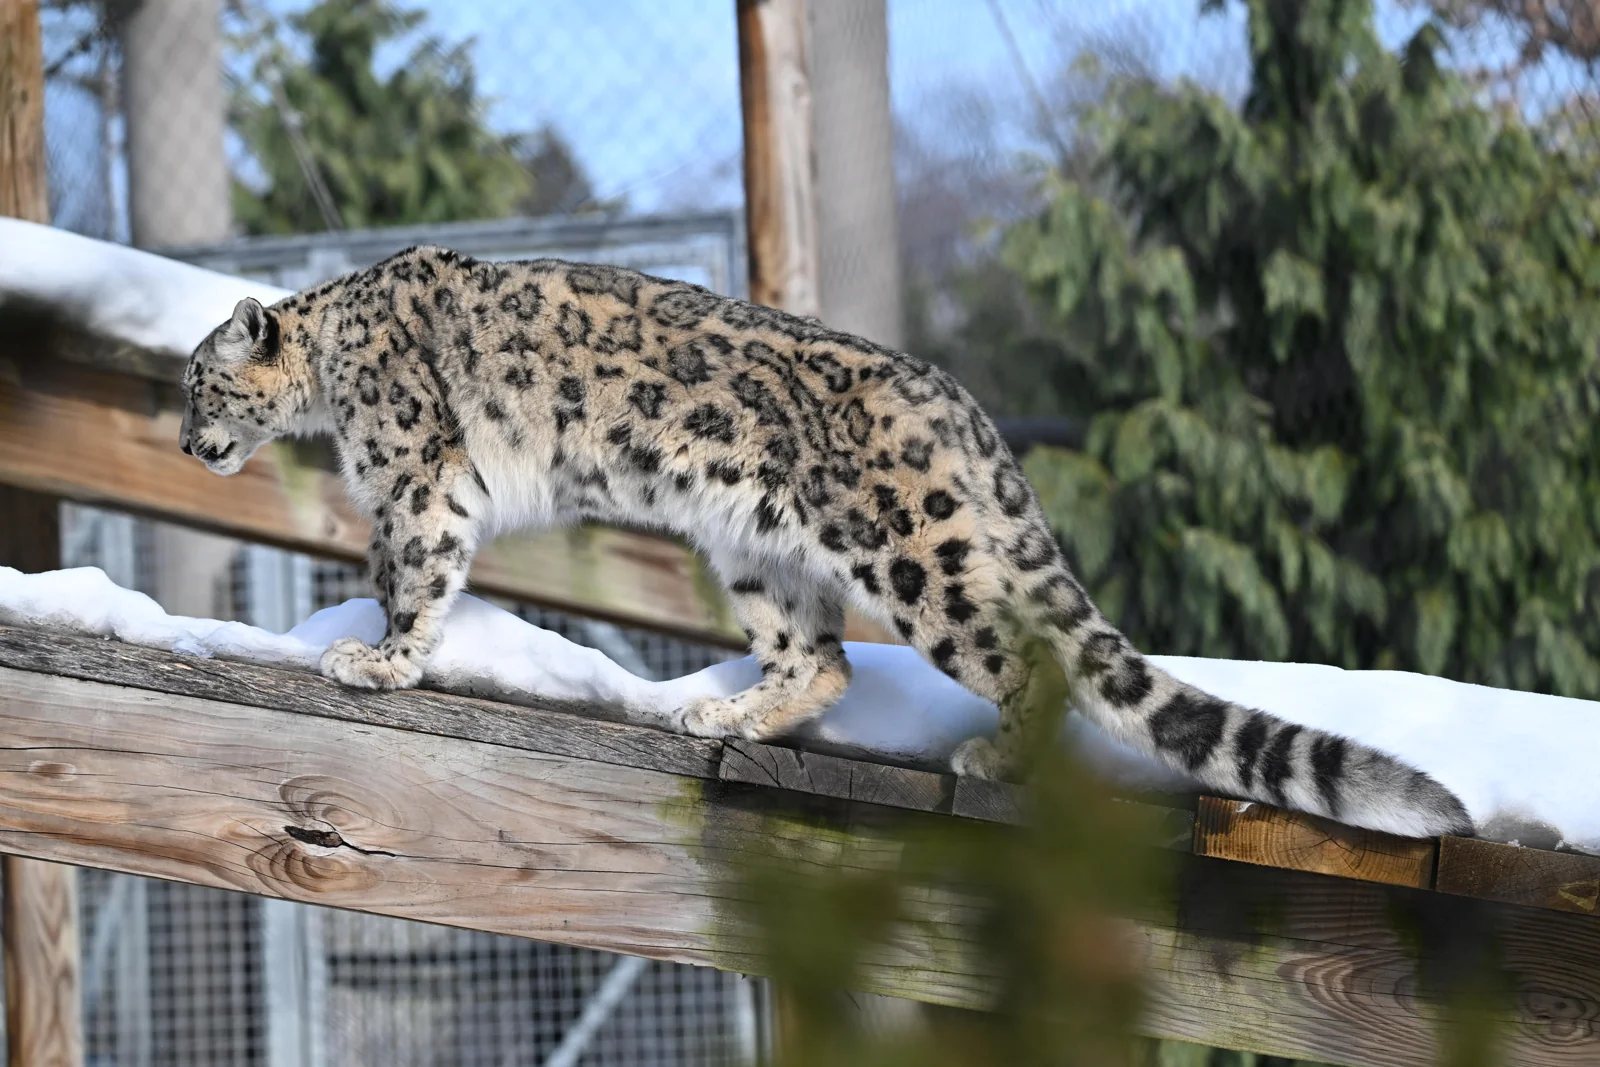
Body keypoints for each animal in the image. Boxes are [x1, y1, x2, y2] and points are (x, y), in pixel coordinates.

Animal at [178, 245, 1472, 838]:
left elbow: (415, 566)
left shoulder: (417, 473)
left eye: (200, 383)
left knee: (1016, 652)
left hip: (905, 551)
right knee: (824, 657)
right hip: (760, 550)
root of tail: (955, 400)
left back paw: (992, 759)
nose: (188, 440)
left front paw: (379, 654)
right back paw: (728, 713)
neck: (332, 379)